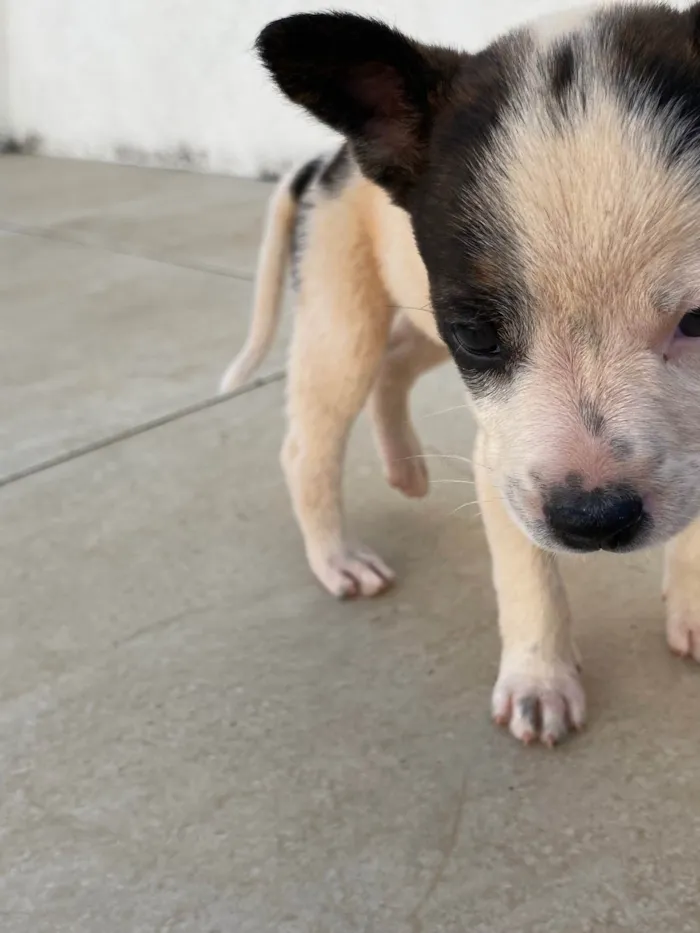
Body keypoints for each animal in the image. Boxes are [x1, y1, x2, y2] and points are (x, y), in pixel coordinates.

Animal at [223, 0, 700, 744]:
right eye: (479, 334)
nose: (591, 522)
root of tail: (328, 159)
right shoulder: (500, 458)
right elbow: (527, 571)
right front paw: (540, 677)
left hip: (415, 318)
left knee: (394, 366)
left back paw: (405, 468)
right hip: (343, 324)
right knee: (310, 445)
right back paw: (336, 556)